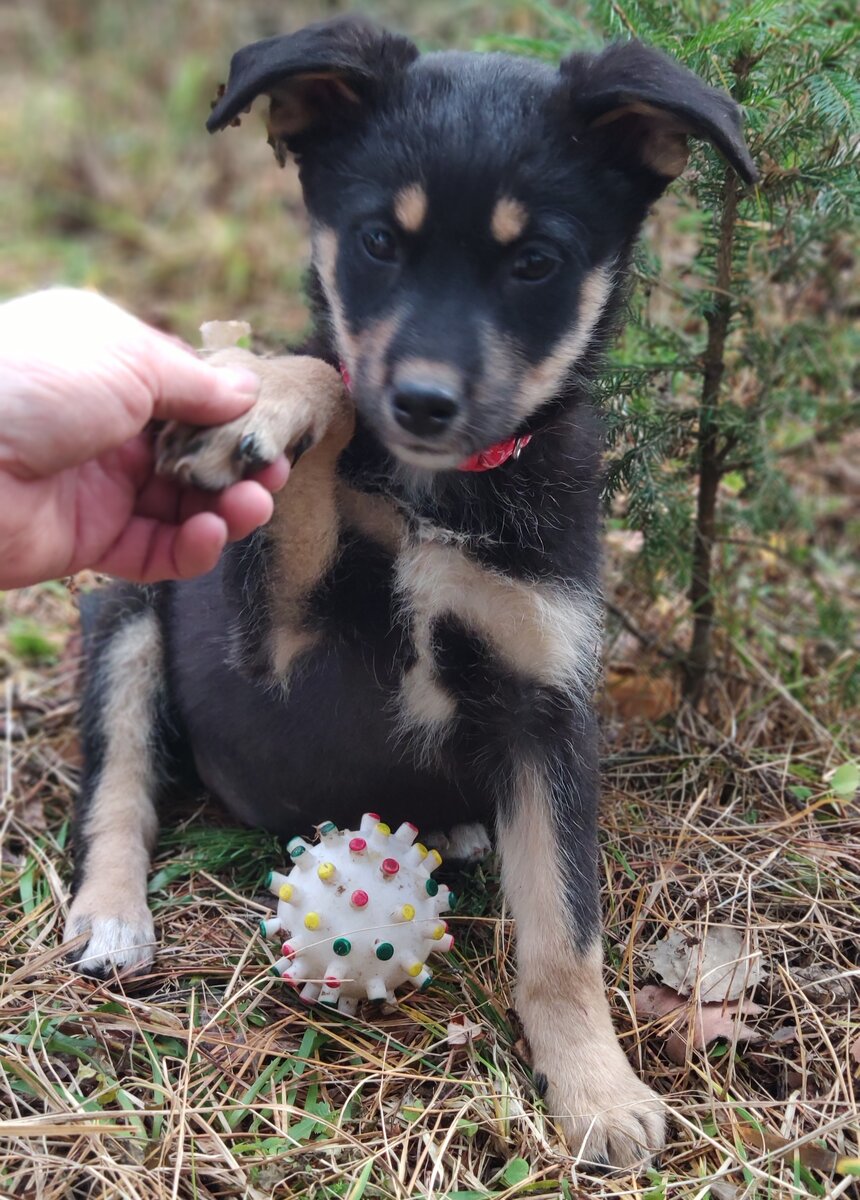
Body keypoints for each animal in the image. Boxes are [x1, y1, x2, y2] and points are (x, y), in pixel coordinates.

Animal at [65, 14, 753, 1166]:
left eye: (534, 263)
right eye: (379, 242)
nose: (424, 402)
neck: (444, 494)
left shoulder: (547, 709)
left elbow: (565, 934)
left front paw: (597, 1091)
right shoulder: (274, 646)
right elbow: (334, 391)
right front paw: (266, 398)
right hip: (124, 610)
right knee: (119, 784)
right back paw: (111, 913)